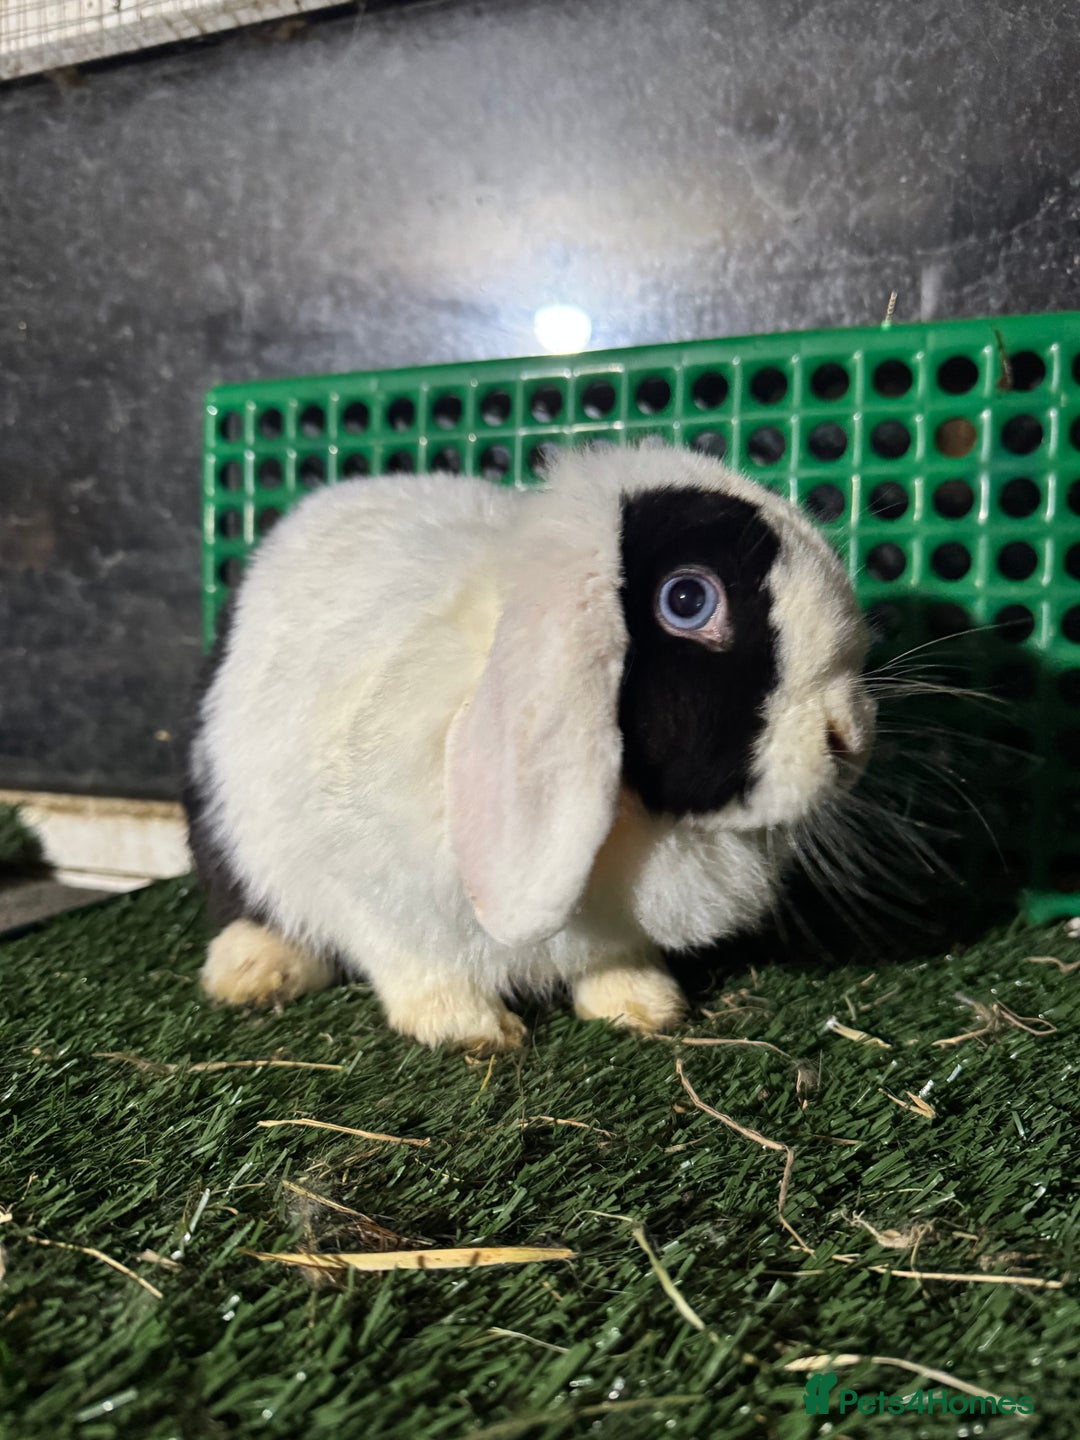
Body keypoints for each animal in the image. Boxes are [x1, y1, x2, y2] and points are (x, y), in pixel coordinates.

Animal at [184, 443, 875, 1051]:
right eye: (687, 599)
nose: (852, 739)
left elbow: (612, 959)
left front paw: (643, 1004)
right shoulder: (371, 892)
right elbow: (415, 961)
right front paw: (469, 1029)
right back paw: (253, 972)